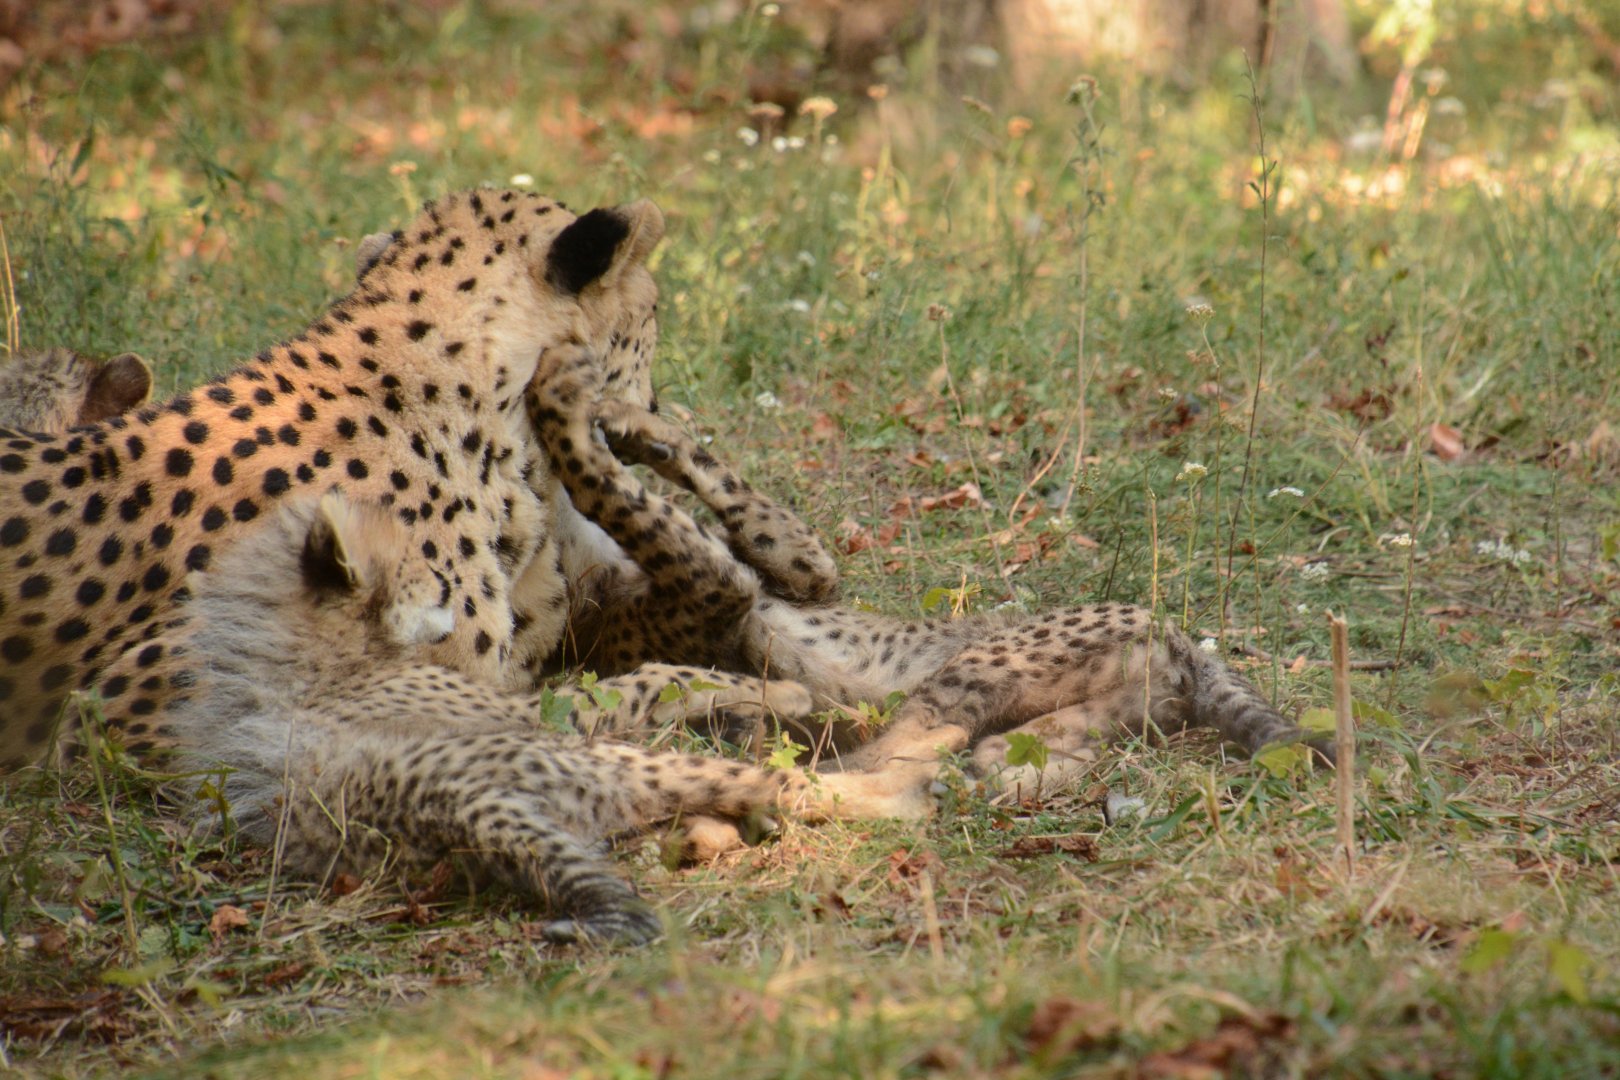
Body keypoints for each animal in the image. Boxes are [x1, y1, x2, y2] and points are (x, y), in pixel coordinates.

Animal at [146, 487, 935, 944]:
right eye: (427, 573)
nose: (467, 603)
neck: (299, 652)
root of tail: (448, 808)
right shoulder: (537, 715)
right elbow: (648, 678)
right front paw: (774, 693)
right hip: (599, 762)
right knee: (797, 787)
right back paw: (905, 768)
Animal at [526, 345, 1335, 800]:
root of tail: (1179, 640)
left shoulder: (793, 571)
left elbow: (711, 496)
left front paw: (622, 421)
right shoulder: (724, 587)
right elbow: (625, 498)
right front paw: (578, 413)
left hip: (1021, 674)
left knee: (919, 744)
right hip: (1020, 690)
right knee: (915, 745)